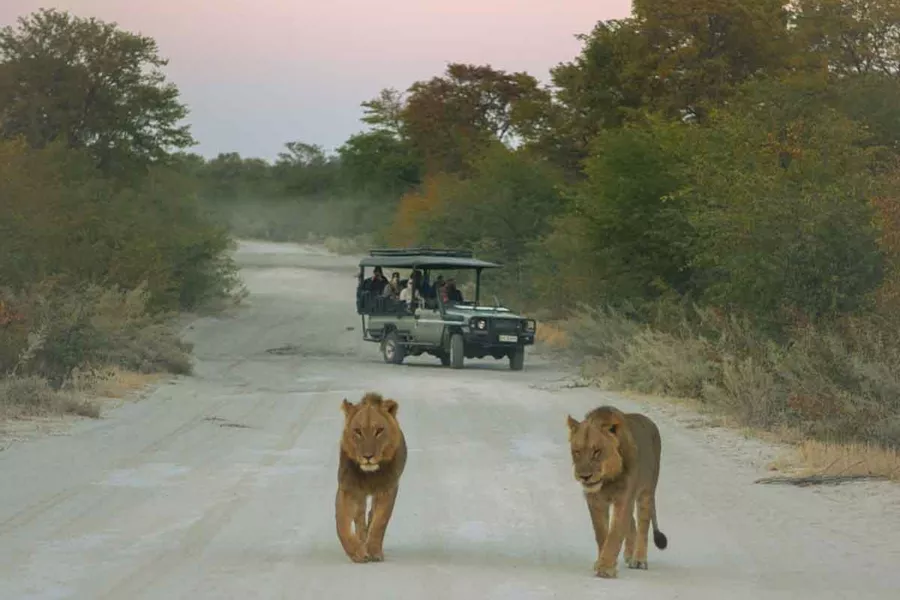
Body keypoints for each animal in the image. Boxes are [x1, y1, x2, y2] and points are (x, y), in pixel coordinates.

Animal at [335, 391, 407, 563]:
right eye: (358, 431)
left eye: (379, 430)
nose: (368, 456)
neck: (369, 474)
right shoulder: (348, 488)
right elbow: (342, 522)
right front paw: (357, 552)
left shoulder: (387, 489)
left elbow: (379, 522)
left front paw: (374, 551)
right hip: (360, 496)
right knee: (359, 518)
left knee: (370, 514)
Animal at [566, 405, 668, 579]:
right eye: (577, 451)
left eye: (597, 451)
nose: (584, 476)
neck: (608, 479)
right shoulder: (595, 501)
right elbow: (602, 533)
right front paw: (602, 563)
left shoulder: (624, 498)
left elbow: (615, 533)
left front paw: (606, 568)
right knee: (632, 523)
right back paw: (628, 555)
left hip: (646, 492)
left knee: (643, 525)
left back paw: (639, 560)